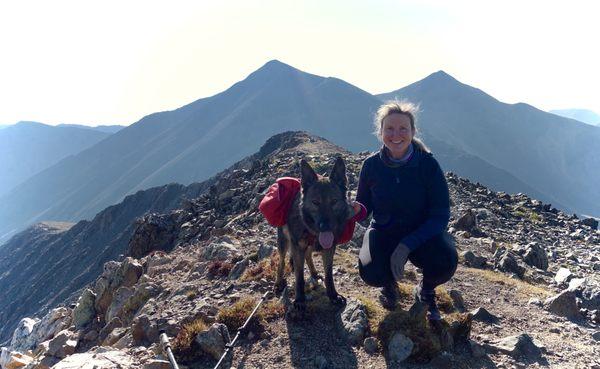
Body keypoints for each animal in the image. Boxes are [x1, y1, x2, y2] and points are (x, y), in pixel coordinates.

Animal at [272, 156, 352, 310]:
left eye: (334, 201)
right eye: (315, 202)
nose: (324, 226)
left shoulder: (329, 249)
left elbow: (329, 275)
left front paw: (333, 296)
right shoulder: (297, 248)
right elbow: (299, 276)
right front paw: (299, 300)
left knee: (308, 256)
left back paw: (314, 273)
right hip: (284, 243)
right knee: (282, 261)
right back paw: (279, 283)